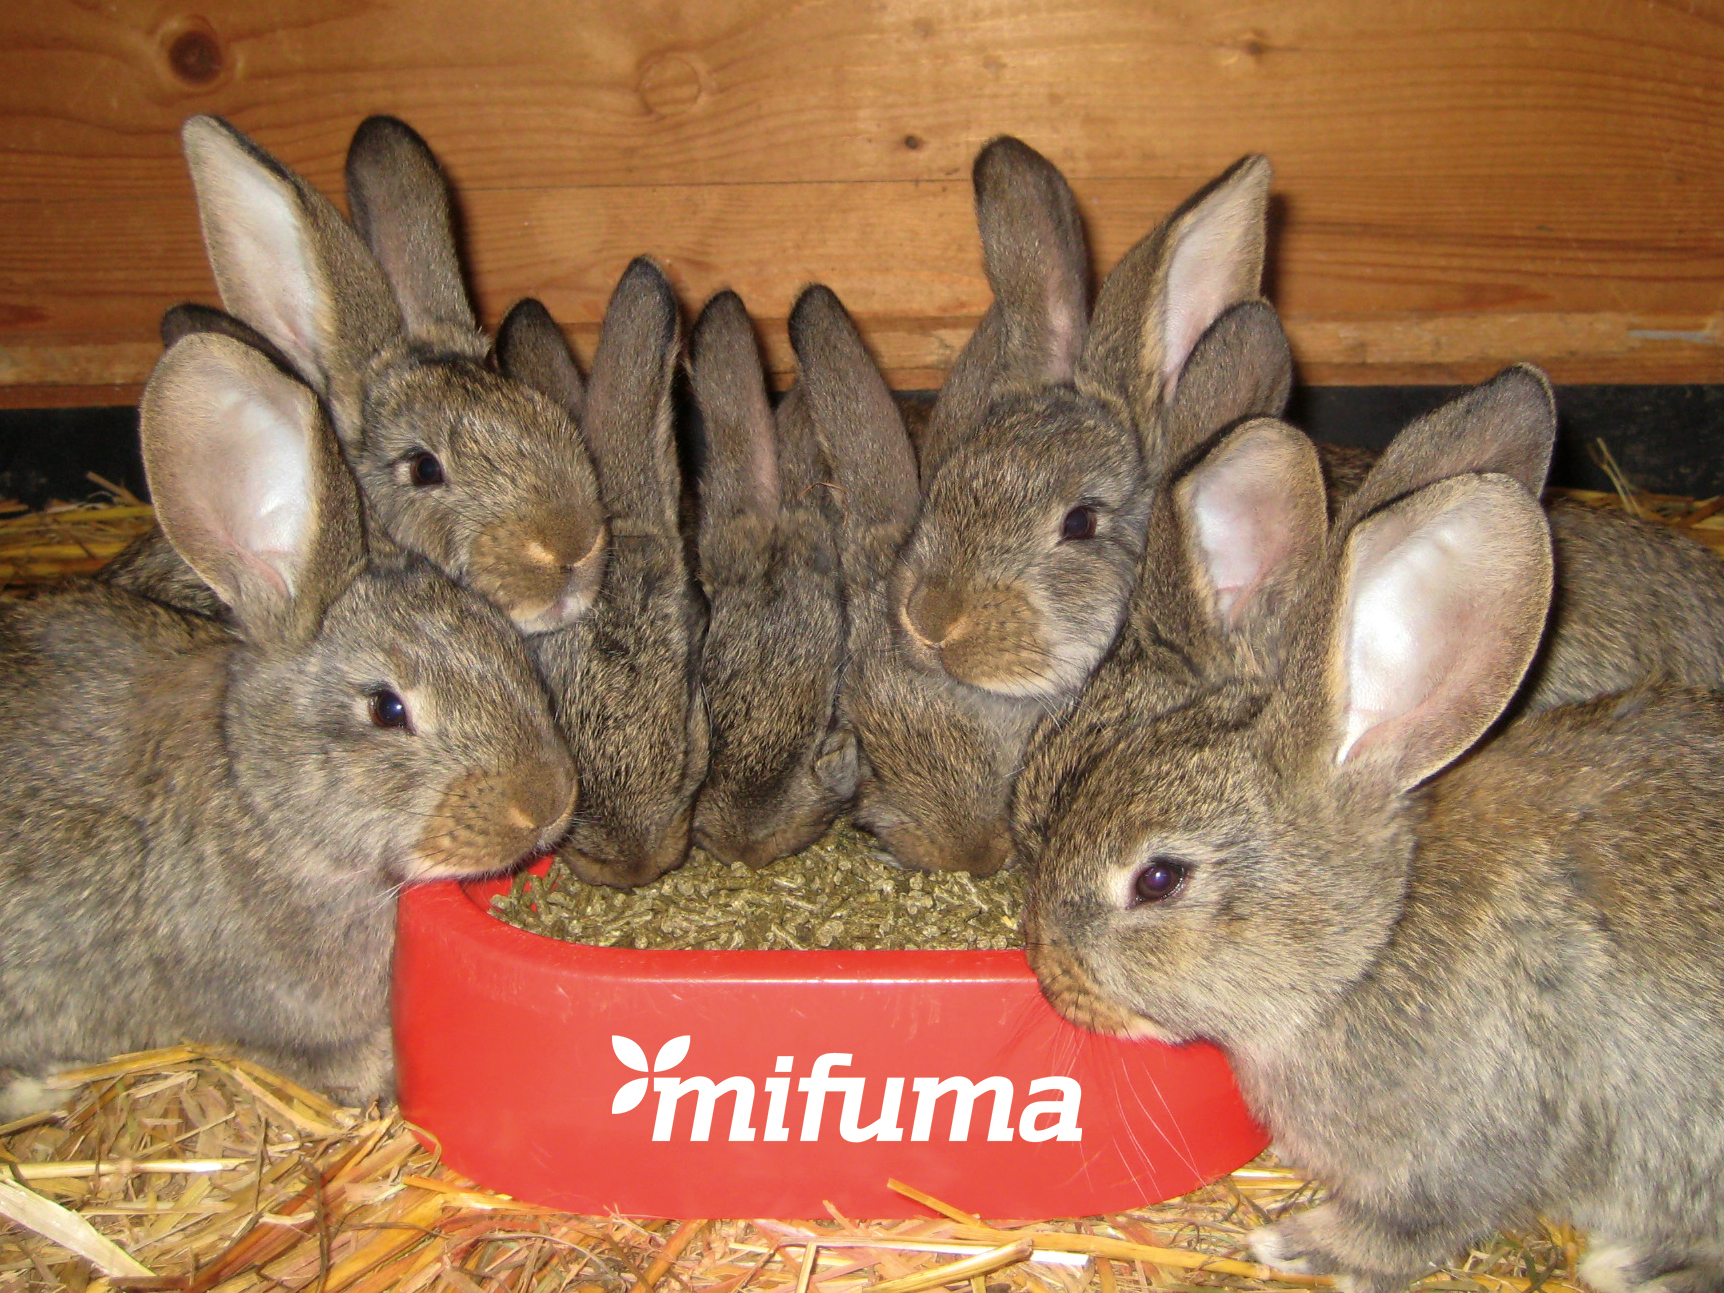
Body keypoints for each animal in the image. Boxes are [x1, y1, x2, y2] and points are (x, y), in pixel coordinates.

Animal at [1020, 412, 1724, 1293]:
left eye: (1157, 879)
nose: (1048, 971)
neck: (1373, 944)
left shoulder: (1463, 1154)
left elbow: (1413, 1226)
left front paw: (1299, 1245)